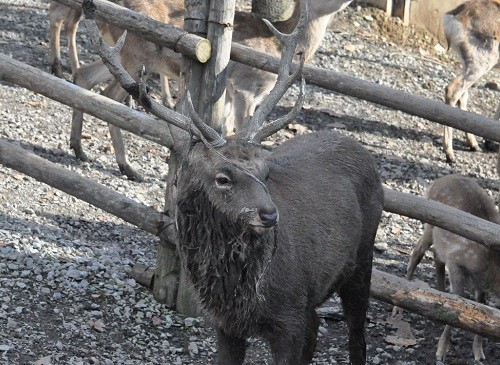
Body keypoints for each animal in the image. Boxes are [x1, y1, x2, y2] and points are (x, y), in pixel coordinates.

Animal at [54, 0, 352, 179]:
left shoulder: (230, 92)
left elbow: (226, 129)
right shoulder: (247, 87)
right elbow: (234, 130)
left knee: (84, 76)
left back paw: (78, 147)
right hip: (136, 54)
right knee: (109, 95)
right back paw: (127, 166)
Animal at [84, 0, 384, 362]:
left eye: (266, 171)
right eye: (223, 178)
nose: (270, 215)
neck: (242, 297)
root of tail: (361, 149)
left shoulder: (289, 316)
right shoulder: (225, 324)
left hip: (362, 258)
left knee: (357, 334)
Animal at [406, 175, 500, 362]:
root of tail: (437, 181)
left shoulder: (480, 283)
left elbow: (482, 306)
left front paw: (478, 353)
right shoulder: (455, 262)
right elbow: (457, 301)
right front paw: (441, 351)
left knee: (436, 257)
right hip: (430, 224)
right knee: (418, 252)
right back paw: (397, 309)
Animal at [444, 0, 498, 163]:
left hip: (467, 63)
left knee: (462, 95)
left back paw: (474, 145)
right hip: (481, 62)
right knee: (453, 90)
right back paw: (450, 154)